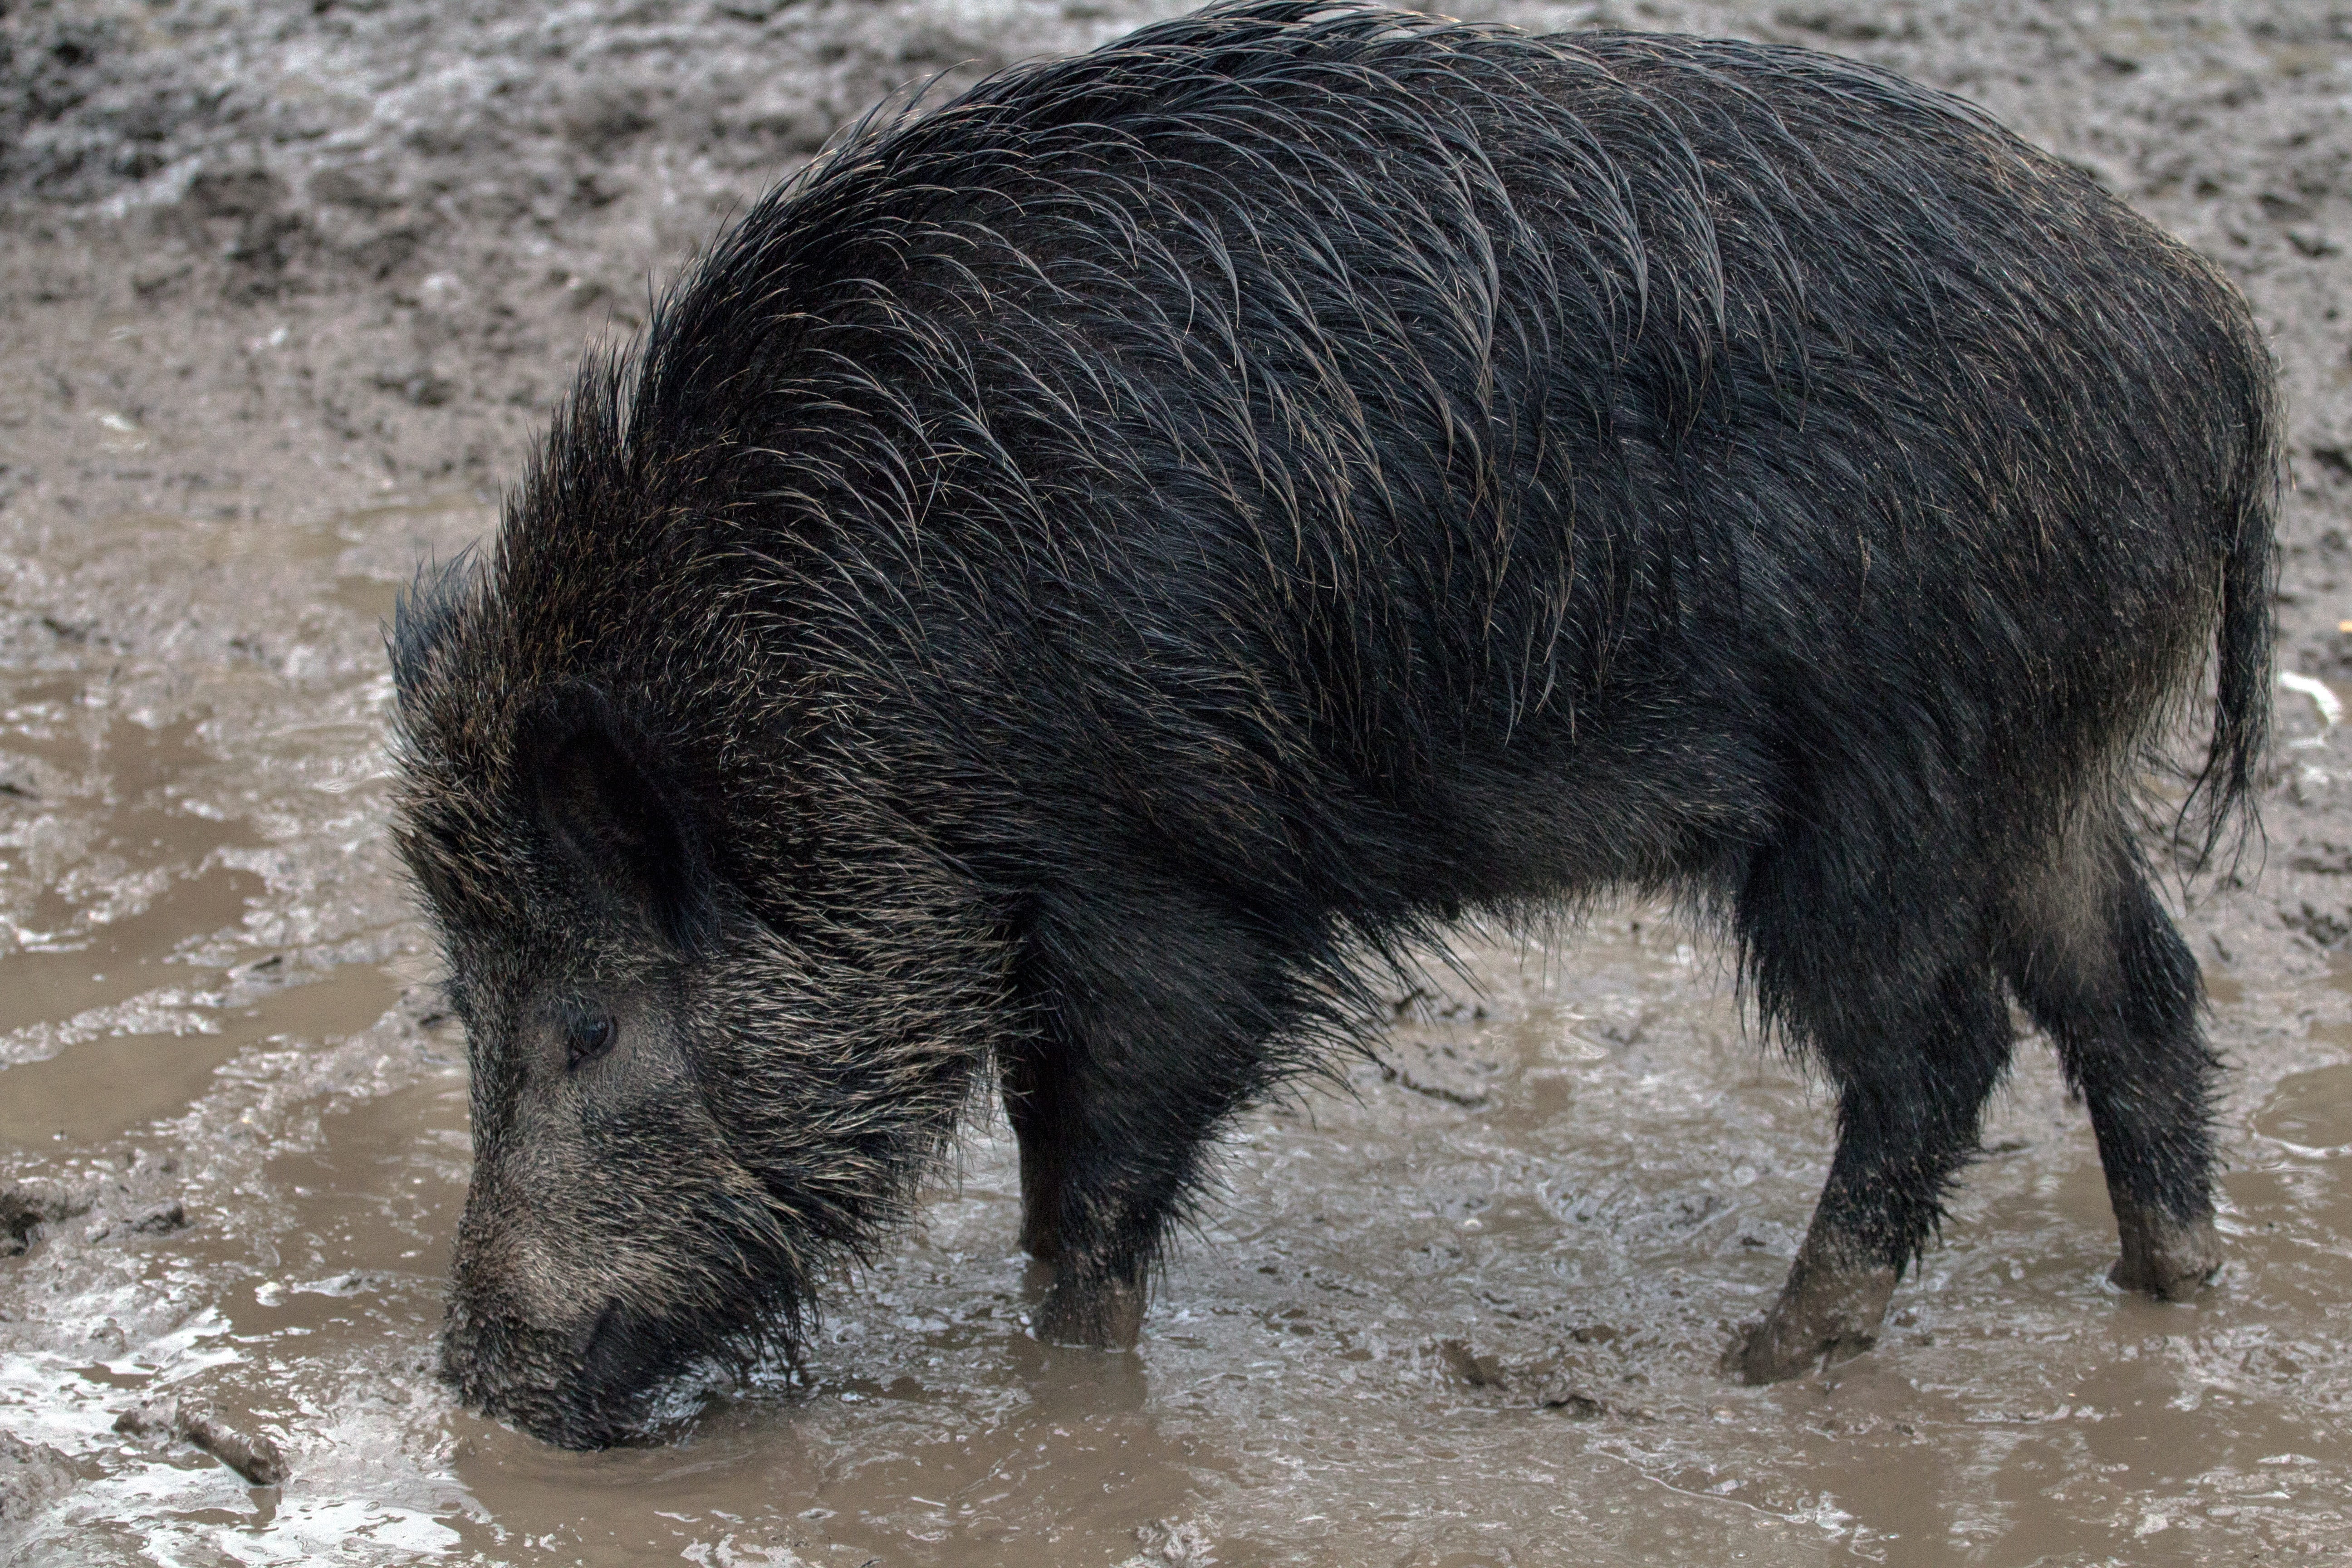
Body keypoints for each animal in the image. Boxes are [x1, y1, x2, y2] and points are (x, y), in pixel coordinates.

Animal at [390, 0, 2277, 1448]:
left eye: (583, 1027)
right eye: (461, 1008)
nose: (473, 1378)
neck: (839, 664)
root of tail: (2211, 334)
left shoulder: (1169, 875)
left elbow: (1101, 1170)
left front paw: (1068, 1404)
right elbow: (1051, 1147)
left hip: (1888, 783)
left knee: (1941, 1044)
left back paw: (1769, 1356)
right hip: (2044, 768)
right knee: (2137, 989)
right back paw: (2168, 1288)